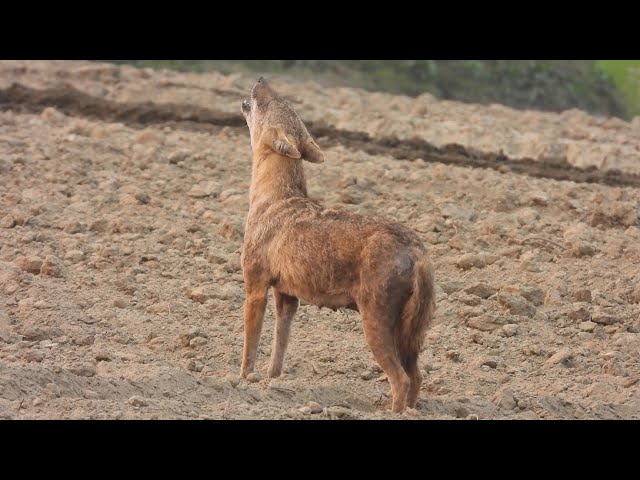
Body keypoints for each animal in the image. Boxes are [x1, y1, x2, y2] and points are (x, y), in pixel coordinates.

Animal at [239, 77, 435, 413]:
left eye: (269, 103)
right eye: (283, 101)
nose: (262, 79)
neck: (272, 197)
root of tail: (417, 250)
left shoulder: (255, 288)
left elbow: (249, 349)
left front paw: (241, 382)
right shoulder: (286, 297)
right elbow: (279, 348)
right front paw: (271, 384)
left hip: (375, 325)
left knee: (401, 379)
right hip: (408, 334)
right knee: (417, 377)